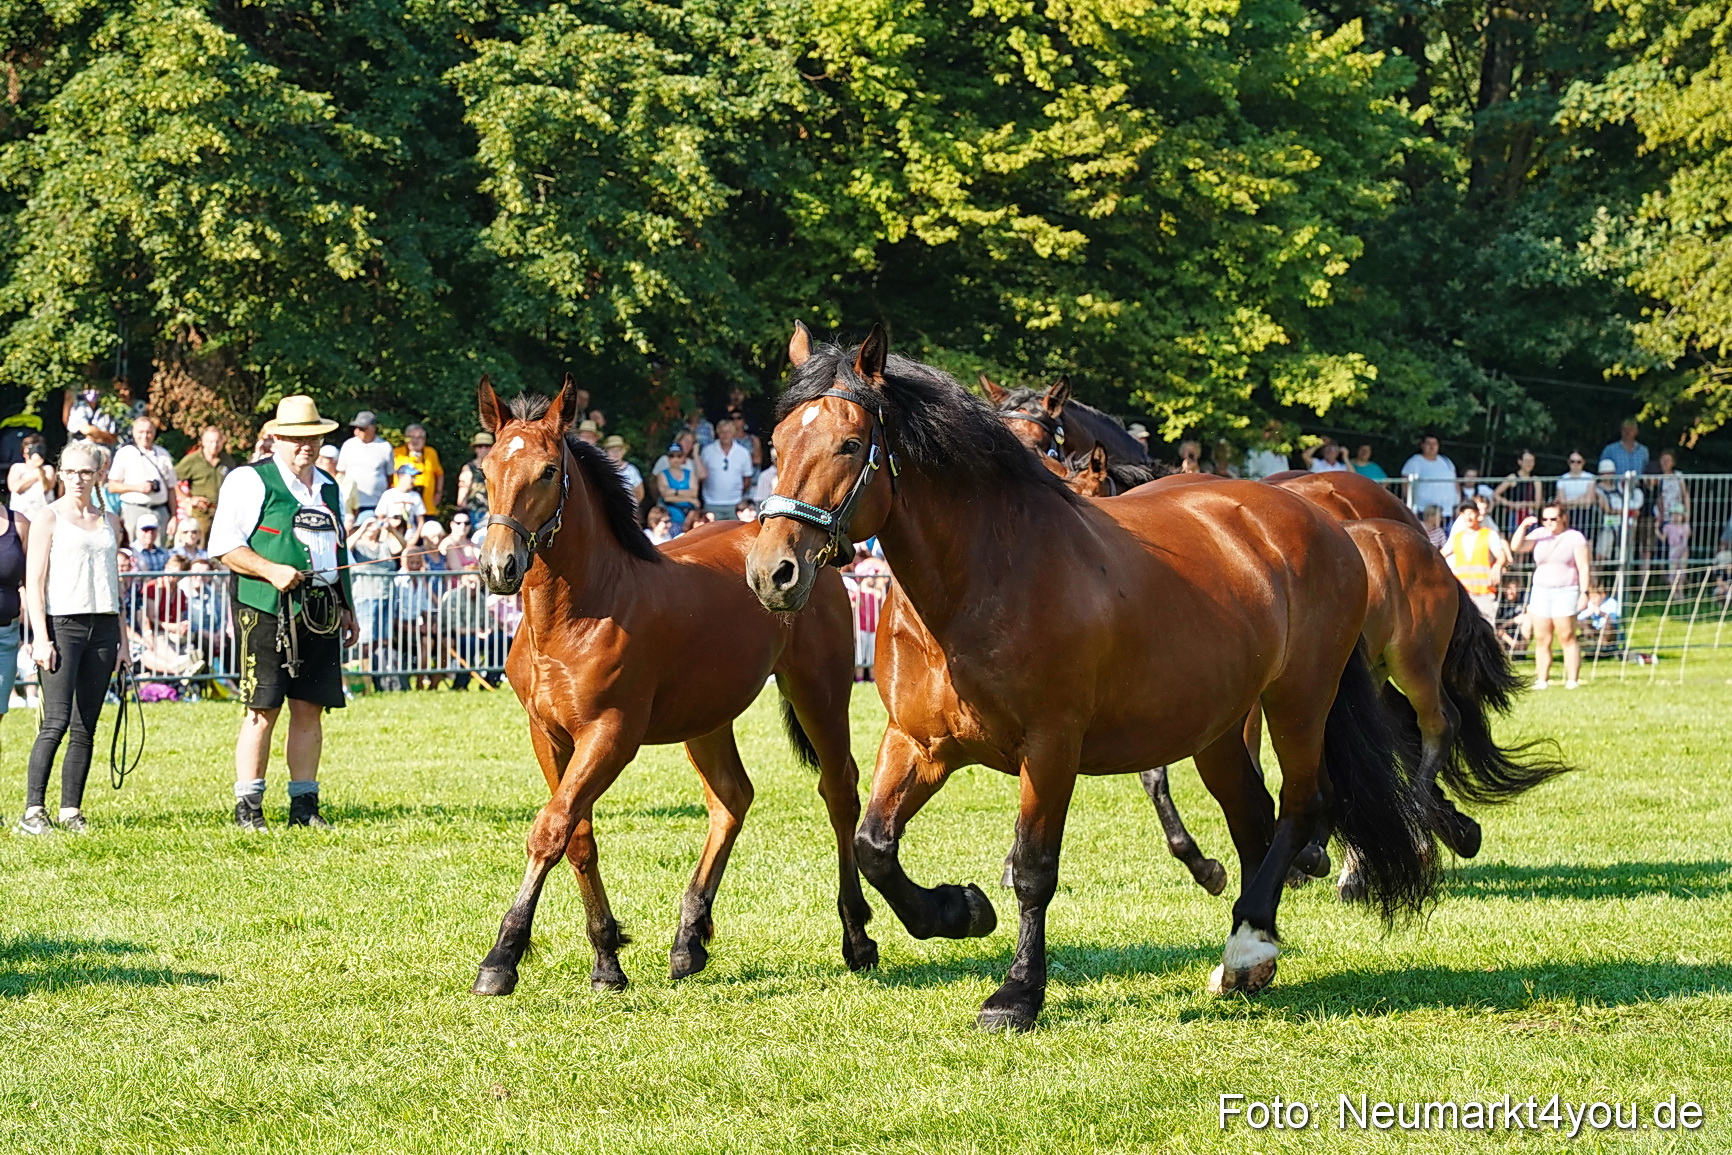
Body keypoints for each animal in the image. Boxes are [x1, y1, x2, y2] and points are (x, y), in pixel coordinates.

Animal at [468, 376, 876, 997]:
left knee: (839, 791)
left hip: (820, 692)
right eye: (487, 469)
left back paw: (857, 937)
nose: (499, 567)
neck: (576, 614)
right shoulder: (549, 735)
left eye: (547, 471)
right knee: (732, 798)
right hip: (706, 719)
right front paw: (606, 959)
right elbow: (578, 836)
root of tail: (815, 553)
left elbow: (551, 829)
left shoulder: (610, 736)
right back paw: (689, 939)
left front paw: (502, 957)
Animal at [747, 324, 1439, 1031]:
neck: (981, 579)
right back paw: (1253, 951)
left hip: (1299, 700)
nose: (773, 572)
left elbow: (1033, 869)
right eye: (775, 443)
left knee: (1303, 804)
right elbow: (874, 846)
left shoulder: (1052, 748)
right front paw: (960, 910)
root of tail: (1320, 521)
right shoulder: (917, 742)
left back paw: (1248, 944)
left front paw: (1017, 992)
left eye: (849, 444)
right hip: (1218, 727)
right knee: (1254, 818)